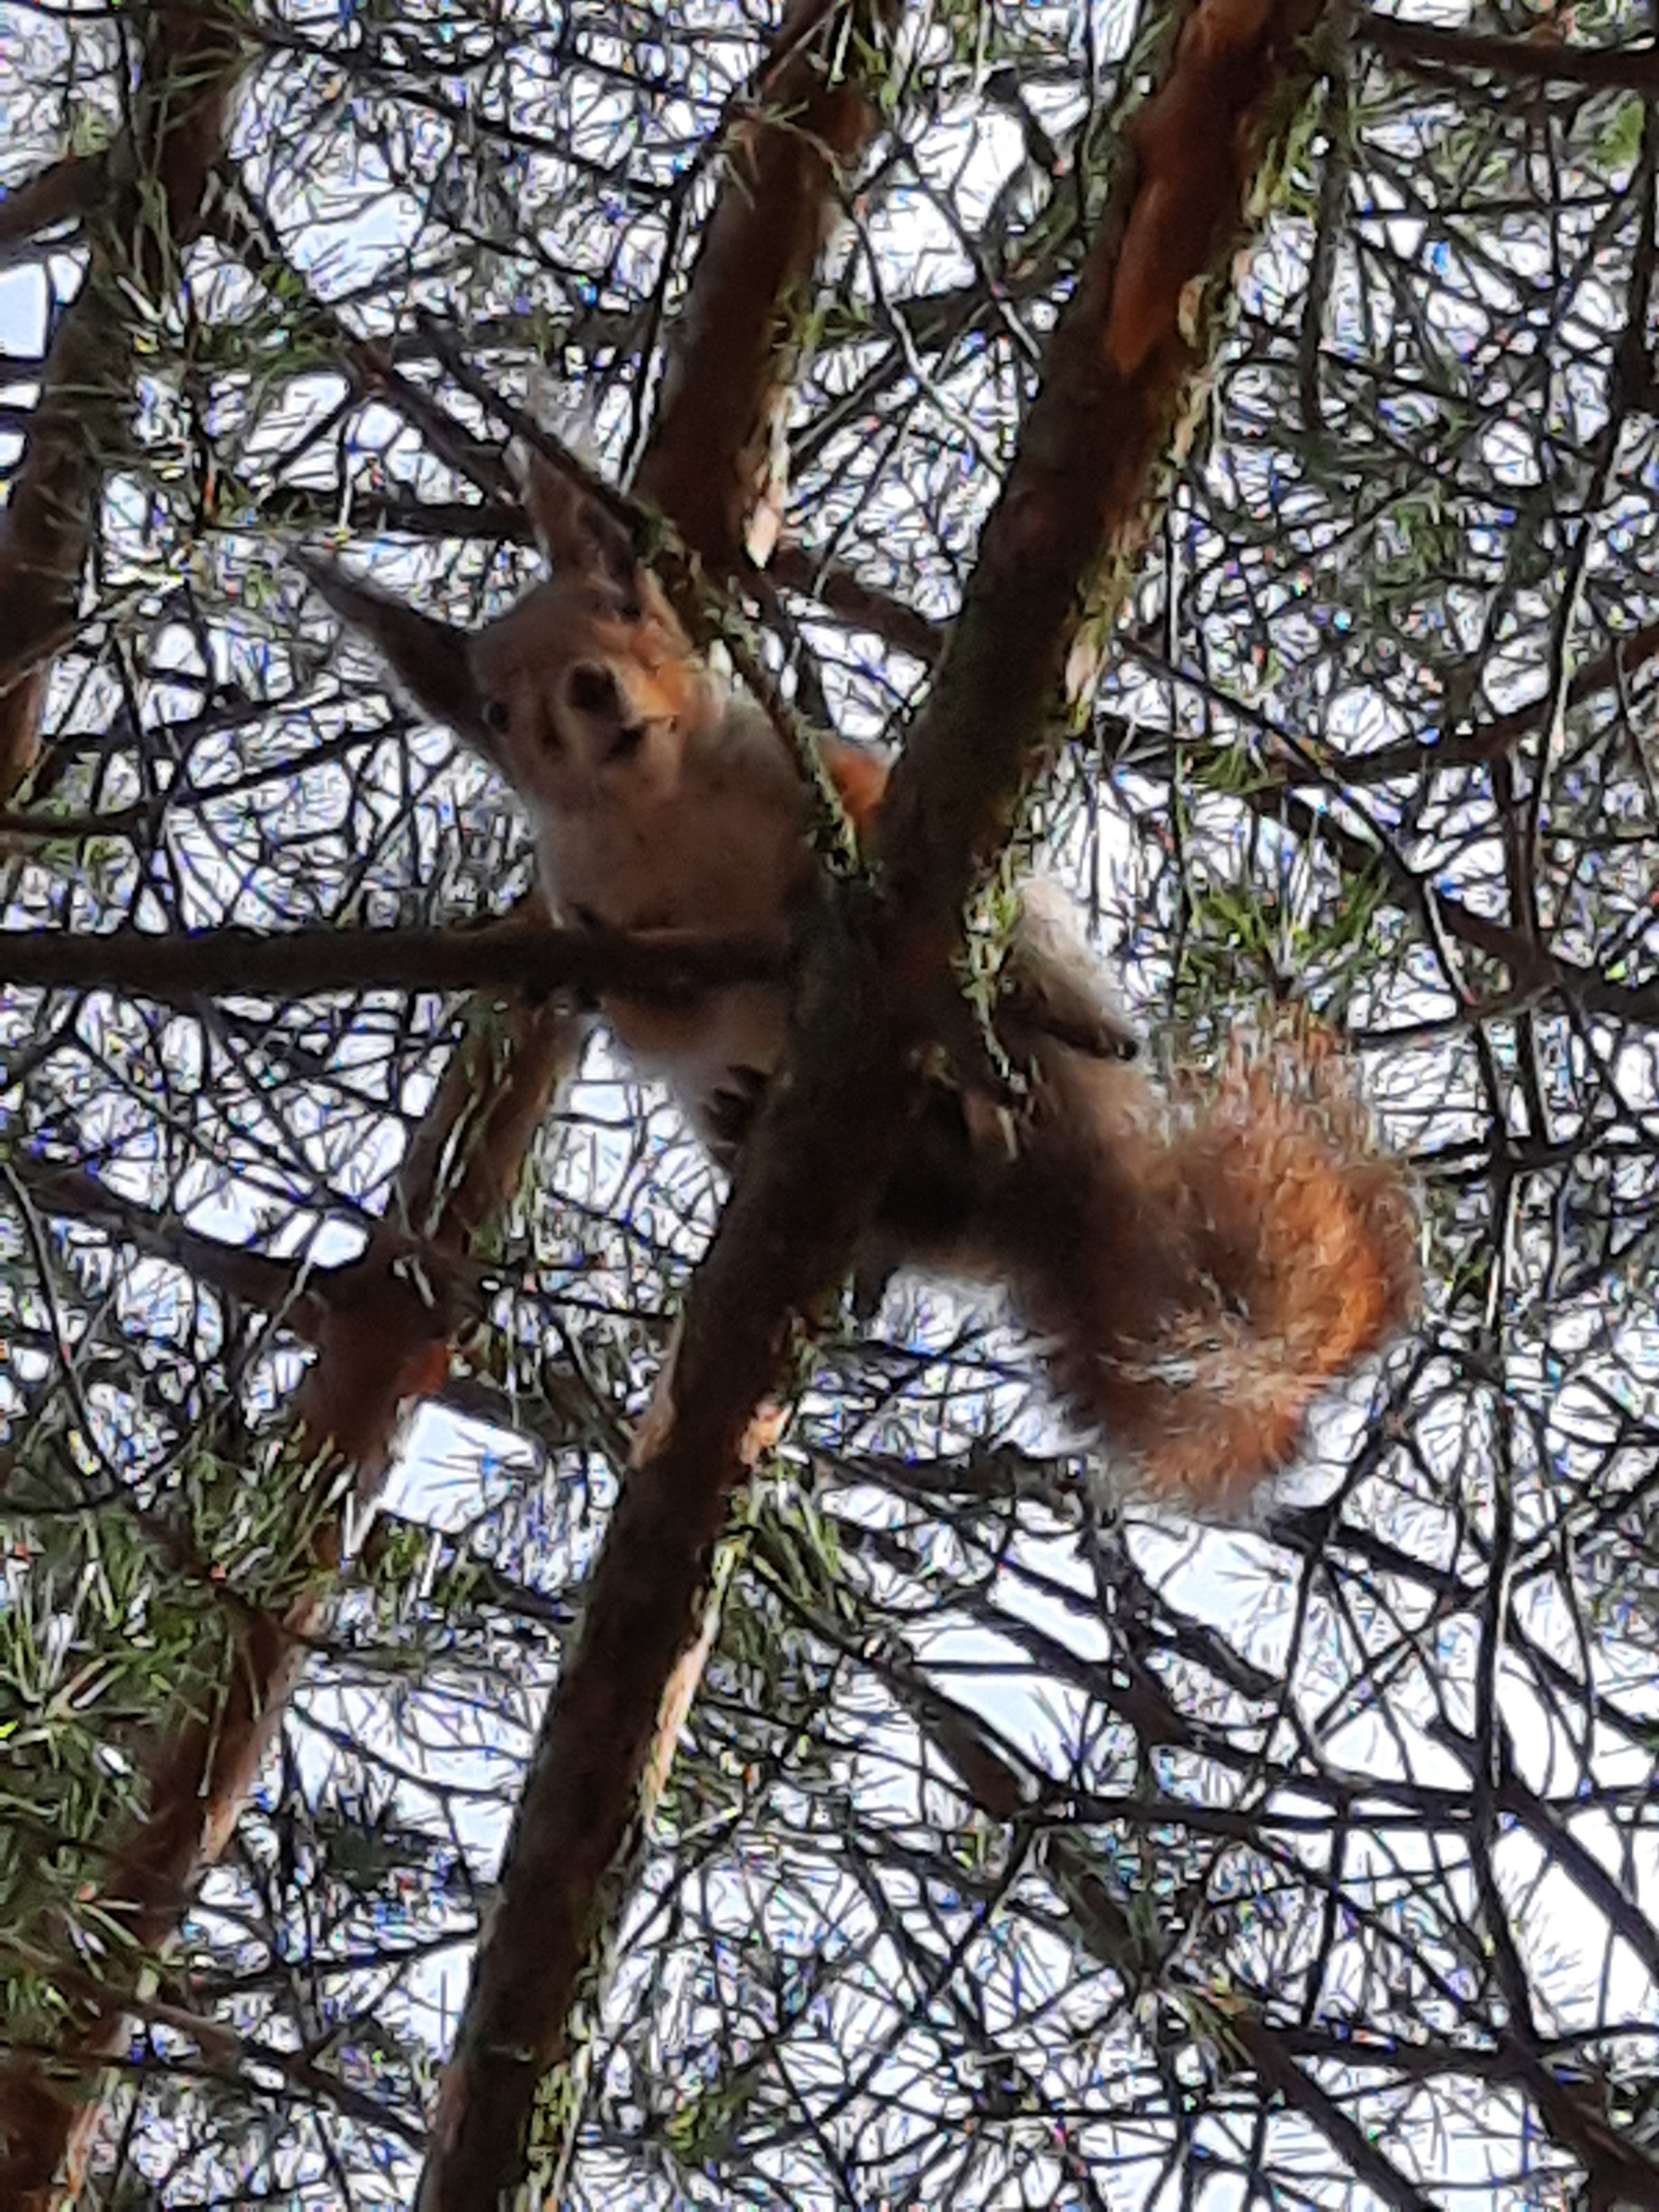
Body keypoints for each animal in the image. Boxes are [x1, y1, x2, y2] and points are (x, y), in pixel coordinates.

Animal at [298, 455, 1415, 1513]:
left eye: (624, 607)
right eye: (494, 710)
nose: (592, 693)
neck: (660, 813)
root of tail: (1072, 1204)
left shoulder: (809, 770)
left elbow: (865, 808)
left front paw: (826, 888)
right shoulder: (608, 913)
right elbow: (654, 1015)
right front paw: (584, 979)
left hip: (1040, 1000)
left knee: (1026, 1048)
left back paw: (988, 1085)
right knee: (913, 1198)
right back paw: (789, 1130)